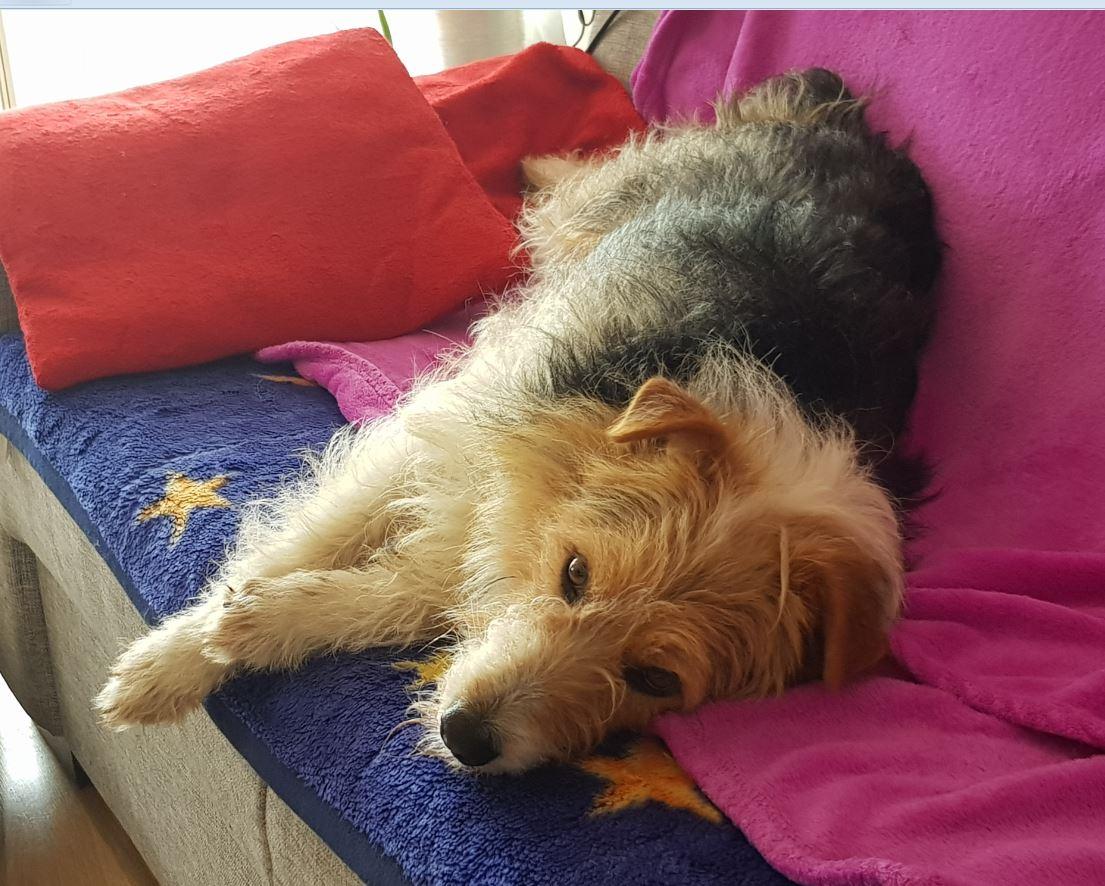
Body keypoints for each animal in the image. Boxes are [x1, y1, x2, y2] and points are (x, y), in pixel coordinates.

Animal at [96, 69, 941, 774]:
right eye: (574, 574)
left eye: (654, 676)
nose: (467, 738)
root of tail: (844, 123)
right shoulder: (448, 428)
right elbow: (302, 541)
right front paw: (169, 662)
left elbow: (411, 590)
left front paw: (267, 623)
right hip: (599, 207)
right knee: (573, 187)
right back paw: (537, 163)